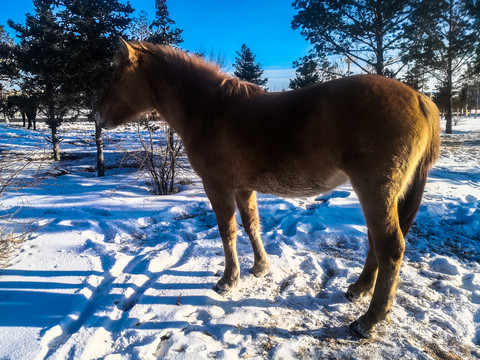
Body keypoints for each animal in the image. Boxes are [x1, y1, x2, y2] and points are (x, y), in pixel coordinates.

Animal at [97, 38, 438, 338]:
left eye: (117, 76)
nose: (97, 116)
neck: (211, 109)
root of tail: (421, 100)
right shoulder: (242, 187)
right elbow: (251, 225)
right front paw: (260, 267)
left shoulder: (217, 185)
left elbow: (228, 231)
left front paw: (228, 280)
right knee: (375, 243)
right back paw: (359, 289)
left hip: (375, 191)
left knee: (390, 247)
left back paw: (369, 320)